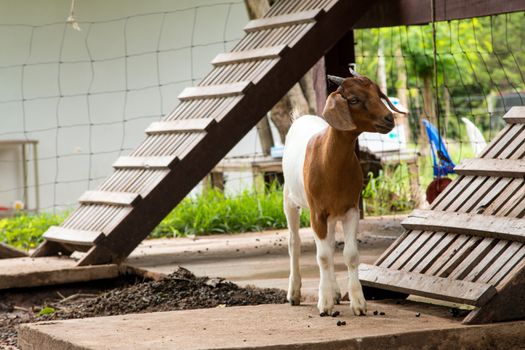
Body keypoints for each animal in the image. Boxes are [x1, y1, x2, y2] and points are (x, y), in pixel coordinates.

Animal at [282, 69, 402, 318]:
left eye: (378, 94)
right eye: (354, 99)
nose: (389, 119)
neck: (329, 160)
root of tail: (301, 118)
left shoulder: (350, 209)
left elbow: (349, 254)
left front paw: (358, 303)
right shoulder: (317, 213)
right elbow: (323, 256)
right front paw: (325, 303)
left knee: (328, 242)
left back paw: (335, 292)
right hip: (289, 198)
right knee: (294, 243)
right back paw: (294, 293)